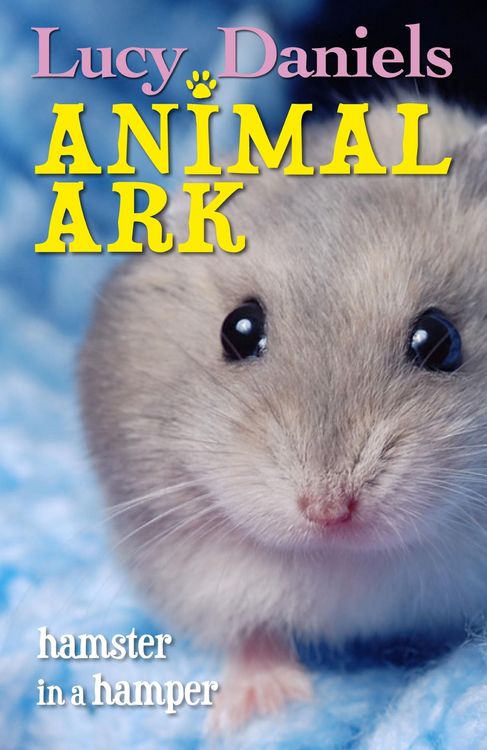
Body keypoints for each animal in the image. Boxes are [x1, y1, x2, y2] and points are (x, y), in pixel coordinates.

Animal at [79, 99, 487, 730]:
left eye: (439, 340)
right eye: (239, 330)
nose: (329, 510)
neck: (348, 563)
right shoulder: (197, 569)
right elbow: (251, 633)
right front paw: (263, 709)